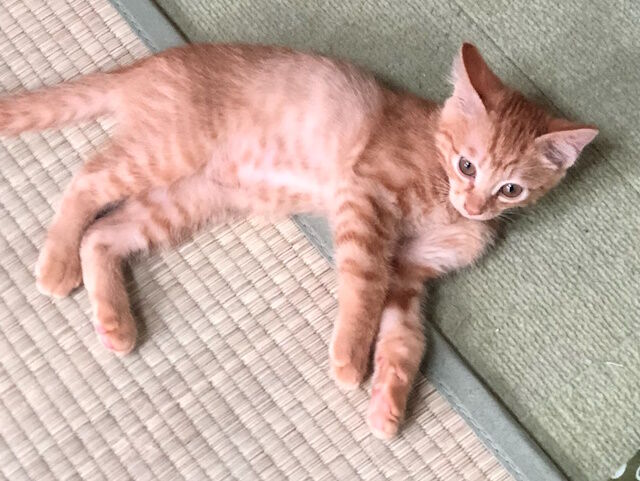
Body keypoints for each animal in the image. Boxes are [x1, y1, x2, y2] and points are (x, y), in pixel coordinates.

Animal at [0, 42, 597, 439]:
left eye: (510, 189)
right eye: (466, 164)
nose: (474, 207)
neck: (441, 193)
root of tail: (156, 61)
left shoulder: (409, 274)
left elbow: (405, 339)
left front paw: (387, 403)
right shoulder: (364, 198)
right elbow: (364, 285)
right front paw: (350, 356)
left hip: (187, 198)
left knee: (104, 233)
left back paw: (114, 322)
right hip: (166, 152)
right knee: (88, 179)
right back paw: (56, 263)